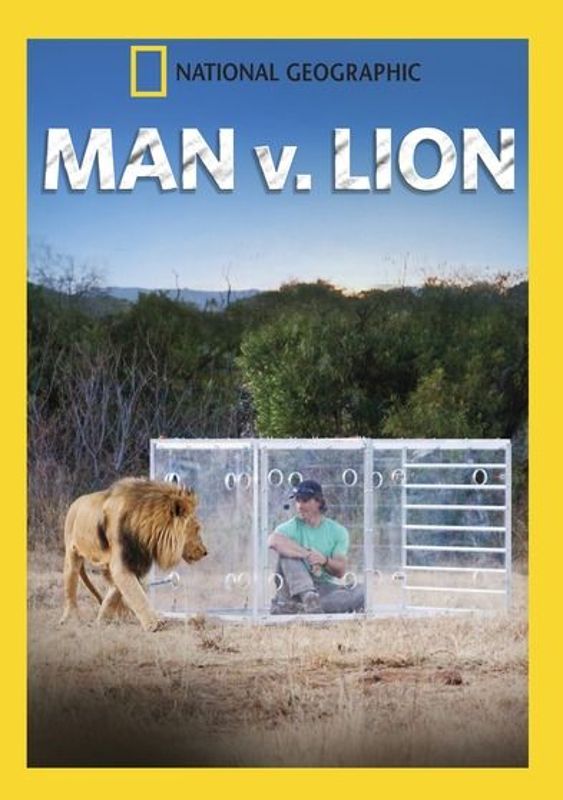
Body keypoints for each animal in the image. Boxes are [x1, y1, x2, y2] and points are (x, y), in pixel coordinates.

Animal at [60, 477, 207, 631]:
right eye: (197, 529)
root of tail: (74, 502)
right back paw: (70, 618)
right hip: (71, 552)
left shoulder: (136, 561)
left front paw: (102, 619)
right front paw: (154, 624)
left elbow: (117, 592)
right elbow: (138, 595)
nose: (205, 552)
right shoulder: (121, 563)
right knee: (70, 585)